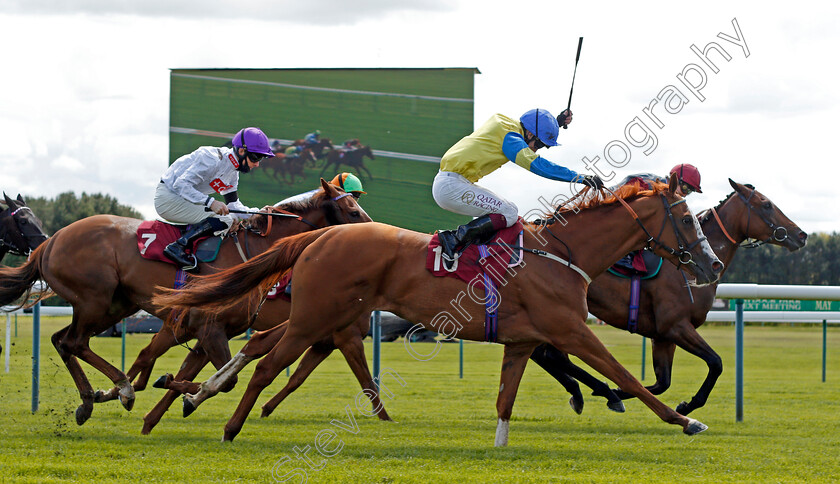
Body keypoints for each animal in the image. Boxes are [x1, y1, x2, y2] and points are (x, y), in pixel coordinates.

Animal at [0, 180, 374, 426]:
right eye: (352, 210)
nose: (379, 234)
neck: (252, 253)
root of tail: (50, 242)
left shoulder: (207, 332)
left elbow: (213, 374)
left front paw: (178, 393)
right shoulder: (209, 328)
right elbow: (227, 379)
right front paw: (172, 391)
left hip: (114, 305)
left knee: (63, 340)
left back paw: (91, 400)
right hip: (95, 299)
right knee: (75, 342)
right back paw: (121, 389)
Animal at [156, 176, 720, 444]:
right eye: (686, 218)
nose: (711, 263)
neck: (564, 253)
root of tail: (321, 234)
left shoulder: (523, 341)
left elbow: (506, 400)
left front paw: (500, 444)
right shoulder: (571, 332)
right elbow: (624, 376)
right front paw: (684, 419)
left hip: (317, 316)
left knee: (257, 351)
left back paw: (195, 394)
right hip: (315, 317)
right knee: (266, 366)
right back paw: (227, 424)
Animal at [532, 179, 808, 416]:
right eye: (766, 204)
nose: (802, 235)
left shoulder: (663, 336)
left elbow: (662, 383)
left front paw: (621, 392)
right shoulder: (675, 326)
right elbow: (716, 362)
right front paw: (686, 405)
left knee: (544, 355)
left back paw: (584, 392)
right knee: (550, 355)